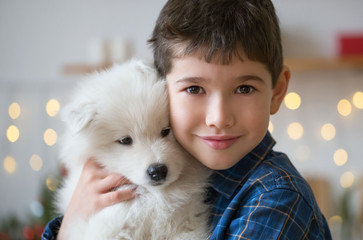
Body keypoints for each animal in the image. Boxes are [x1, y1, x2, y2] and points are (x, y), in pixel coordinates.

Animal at [55, 59, 212, 239]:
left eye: (166, 131)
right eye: (125, 140)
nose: (158, 171)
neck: (154, 195)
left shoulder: (186, 224)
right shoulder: (110, 223)